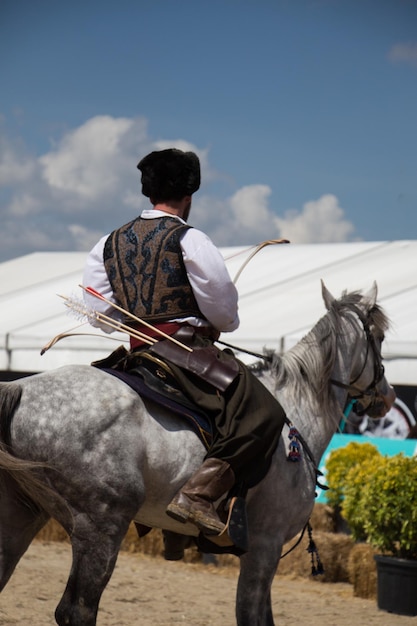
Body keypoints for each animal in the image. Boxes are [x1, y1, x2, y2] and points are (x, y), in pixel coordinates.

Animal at [0, 282, 394, 624]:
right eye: (379, 337)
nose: (387, 396)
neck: (296, 414)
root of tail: (19, 388)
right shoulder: (264, 547)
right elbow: (251, 615)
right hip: (101, 526)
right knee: (77, 611)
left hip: (23, 514)